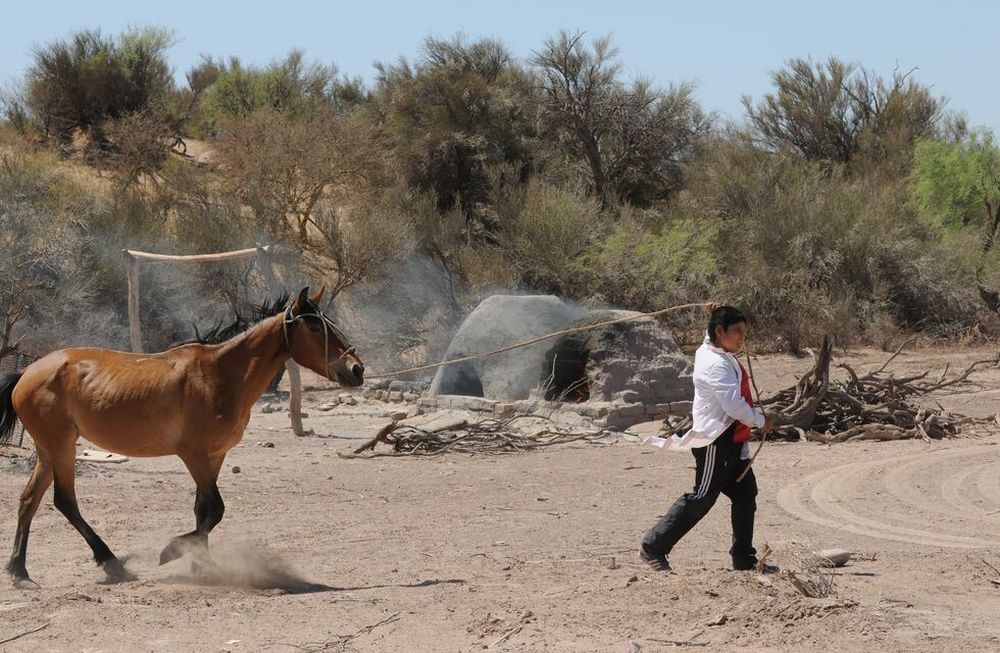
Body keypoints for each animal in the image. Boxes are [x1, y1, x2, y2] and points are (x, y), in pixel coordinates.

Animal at [0, 287, 364, 589]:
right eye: (315, 328)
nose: (357, 369)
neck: (221, 375)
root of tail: (27, 373)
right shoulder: (194, 454)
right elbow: (215, 509)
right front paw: (173, 551)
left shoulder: (216, 456)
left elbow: (202, 511)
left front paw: (203, 567)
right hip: (61, 446)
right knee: (64, 501)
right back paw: (112, 563)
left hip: (48, 450)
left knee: (29, 500)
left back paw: (21, 574)